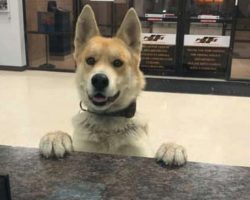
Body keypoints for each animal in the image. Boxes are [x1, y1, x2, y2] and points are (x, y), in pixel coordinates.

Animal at [39, 5, 187, 166]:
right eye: (90, 60)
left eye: (117, 63)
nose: (99, 80)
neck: (108, 120)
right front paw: (56, 136)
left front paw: (172, 147)